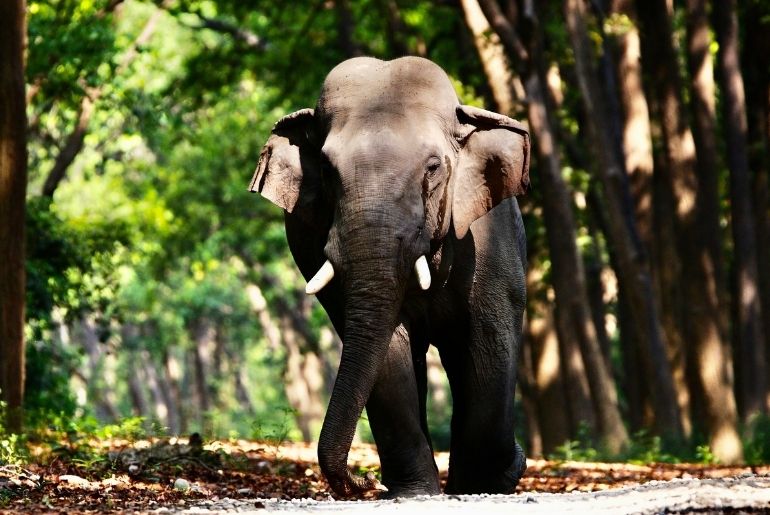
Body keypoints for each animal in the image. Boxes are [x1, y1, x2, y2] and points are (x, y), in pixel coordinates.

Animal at [248, 56, 530, 498]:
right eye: (326, 170)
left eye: (433, 168)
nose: (363, 481)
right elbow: (387, 348)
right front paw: (416, 493)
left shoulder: (487, 239)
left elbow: (487, 338)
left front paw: (490, 481)